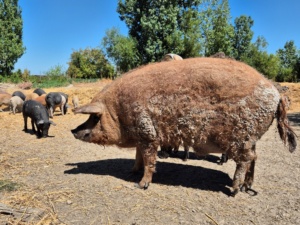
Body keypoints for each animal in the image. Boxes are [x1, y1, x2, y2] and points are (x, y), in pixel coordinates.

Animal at [71, 57, 296, 196]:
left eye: (95, 117)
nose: (73, 130)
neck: (118, 111)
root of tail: (276, 93)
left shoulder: (148, 133)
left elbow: (149, 159)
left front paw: (141, 185)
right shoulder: (142, 137)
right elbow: (138, 156)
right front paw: (131, 172)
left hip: (242, 136)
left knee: (246, 160)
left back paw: (233, 190)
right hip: (252, 137)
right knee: (255, 158)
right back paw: (246, 187)